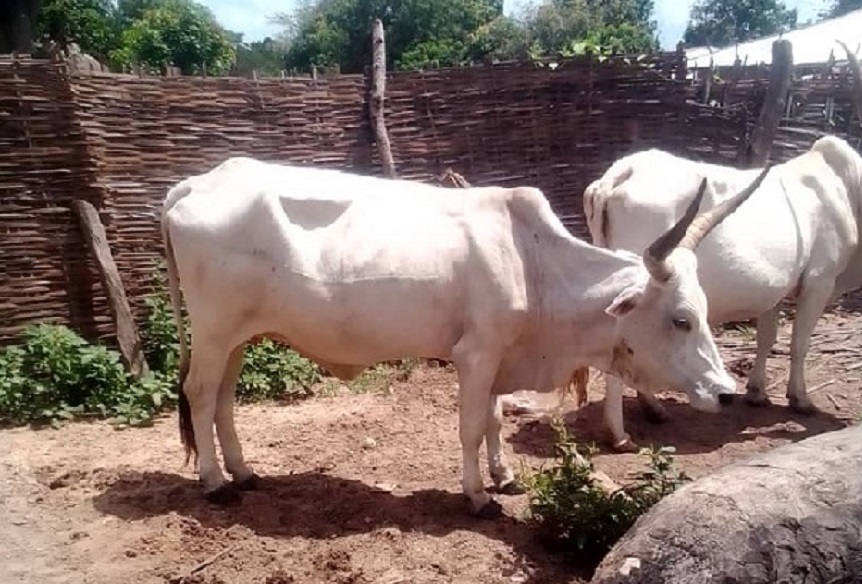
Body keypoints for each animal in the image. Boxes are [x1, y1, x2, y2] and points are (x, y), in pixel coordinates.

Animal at [162, 156, 768, 516]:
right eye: (681, 319)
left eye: (704, 313)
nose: (725, 393)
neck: (531, 262)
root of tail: (194, 183)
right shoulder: (476, 355)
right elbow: (472, 426)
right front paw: (477, 495)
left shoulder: (501, 357)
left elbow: (496, 419)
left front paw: (504, 476)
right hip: (213, 332)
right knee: (199, 394)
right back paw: (215, 483)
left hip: (239, 336)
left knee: (222, 401)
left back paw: (244, 473)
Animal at [584, 46, 860, 452]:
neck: (846, 185)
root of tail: (619, 174)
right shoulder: (819, 280)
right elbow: (799, 344)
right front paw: (801, 399)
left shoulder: (777, 289)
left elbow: (767, 338)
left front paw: (758, 392)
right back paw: (619, 433)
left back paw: (653, 409)